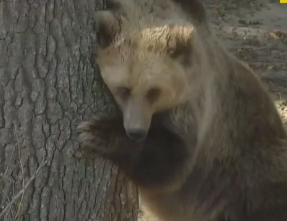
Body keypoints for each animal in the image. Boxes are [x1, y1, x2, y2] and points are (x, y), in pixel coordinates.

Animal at [77, 0, 287, 221]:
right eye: (124, 89)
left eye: (154, 91)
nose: (136, 132)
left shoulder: (194, 105)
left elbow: (171, 162)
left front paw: (97, 131)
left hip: (251, 176)